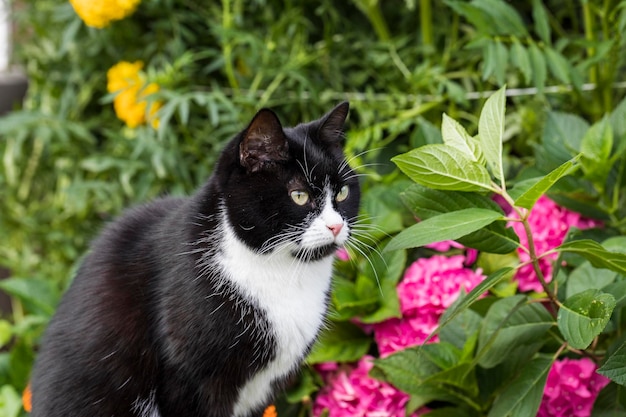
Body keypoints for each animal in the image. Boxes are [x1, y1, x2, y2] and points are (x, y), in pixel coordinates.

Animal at [30, 101, 360, 416]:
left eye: (342, 193)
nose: (336, 226)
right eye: (299, 195)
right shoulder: (189, 380)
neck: (282, 272)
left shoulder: (264, 389)